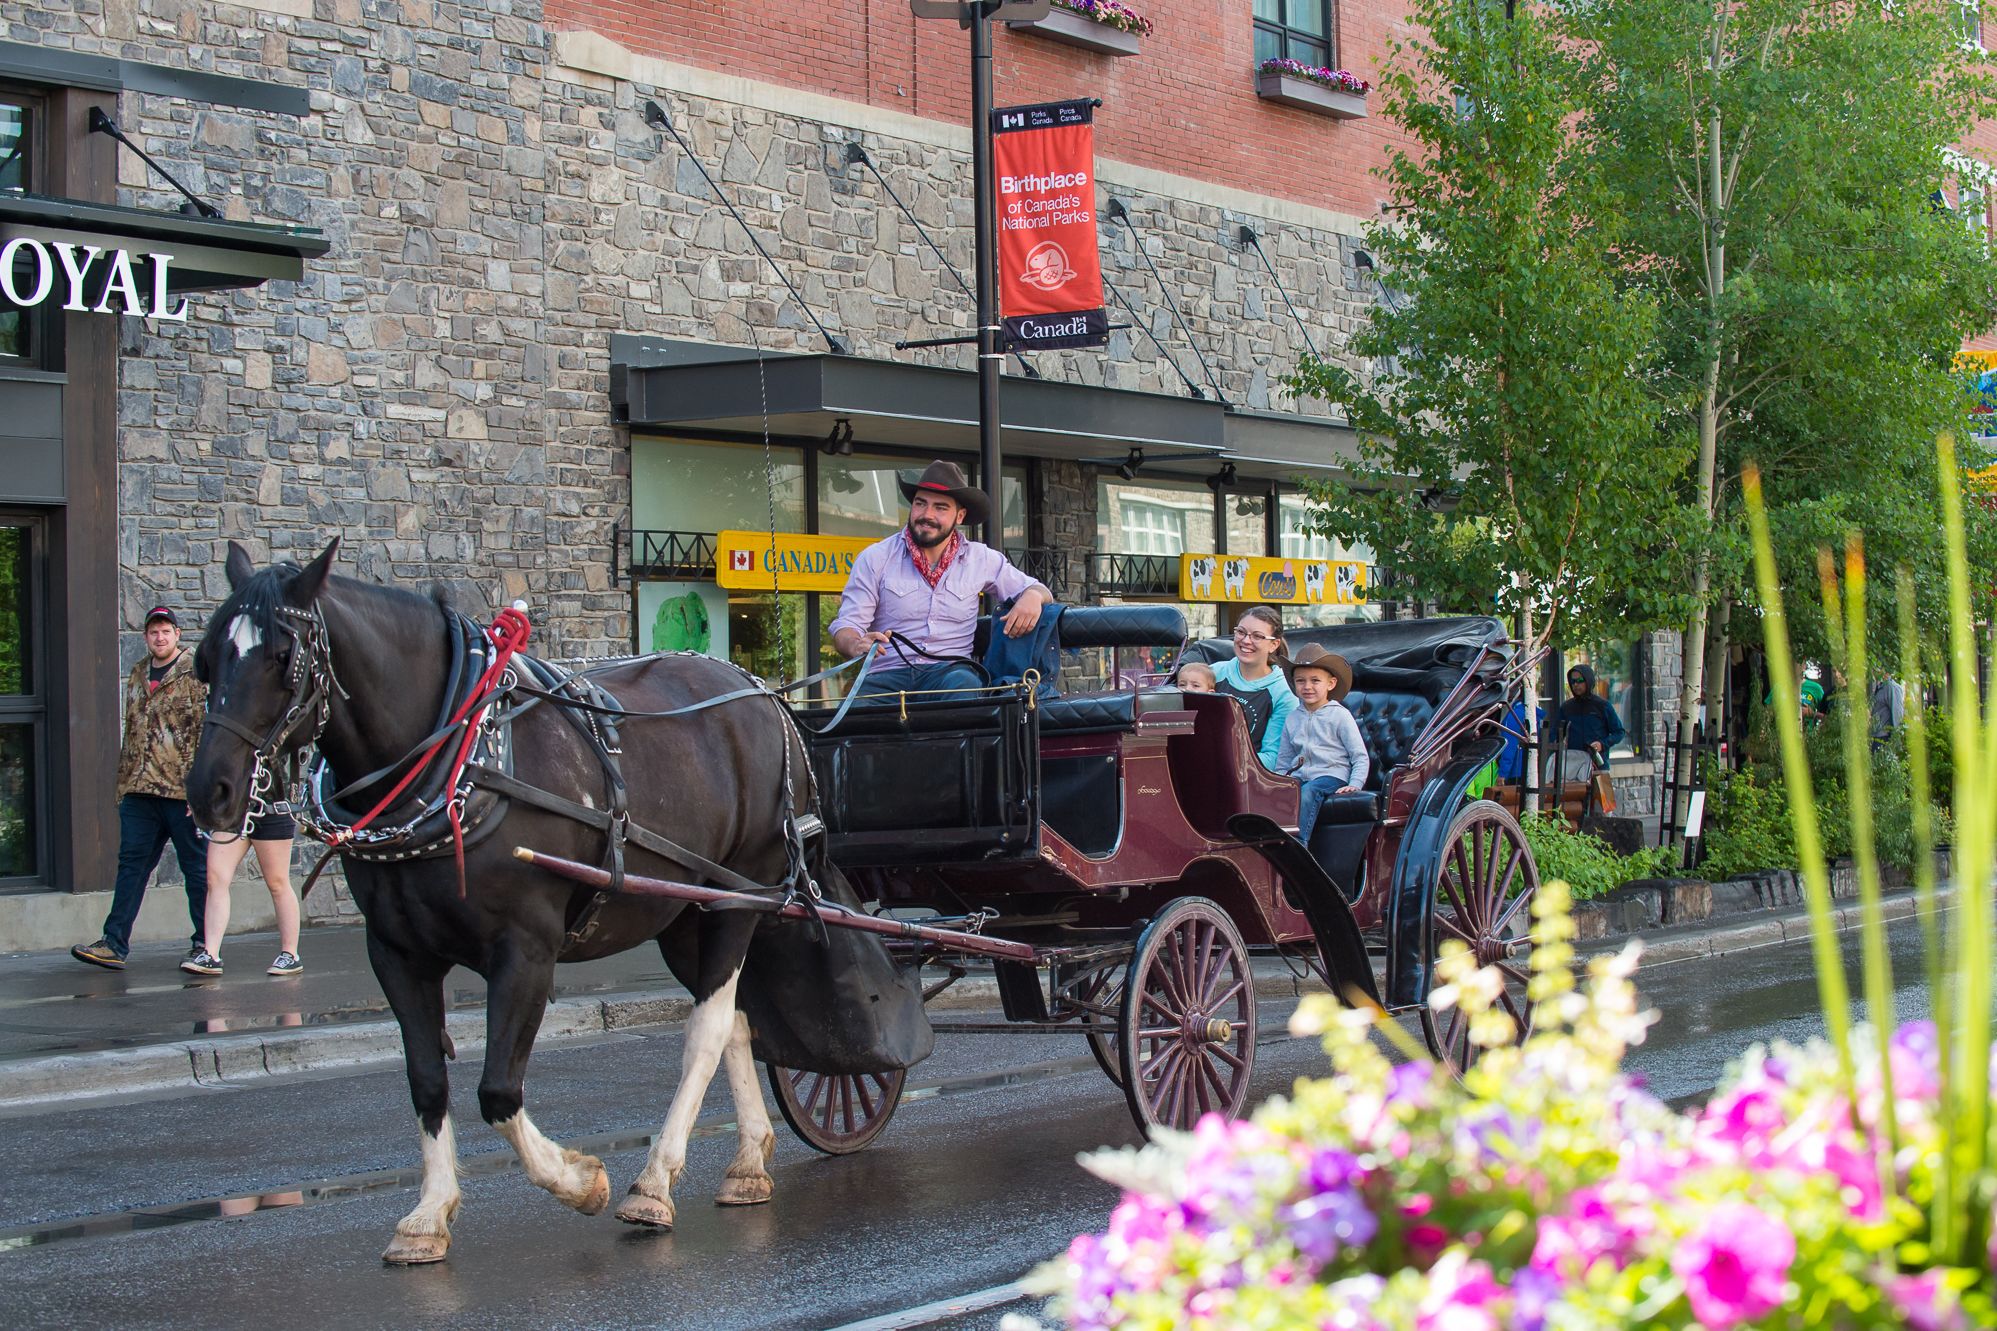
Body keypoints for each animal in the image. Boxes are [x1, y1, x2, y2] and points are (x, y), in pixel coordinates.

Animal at [181, 535, 926, 1255]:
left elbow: (497, 1089)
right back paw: (746, 1163)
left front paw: (579, 1180)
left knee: (709, 1029)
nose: (210, 790)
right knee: (737, 1021)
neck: (461, 762)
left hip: (738, 897)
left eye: (283, 656)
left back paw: (654, 1182)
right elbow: (427, 1081)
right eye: (205, 659)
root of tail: (763, 694)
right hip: (684, 913)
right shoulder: (395, 952)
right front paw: (427, 1214)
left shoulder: (525, 948)